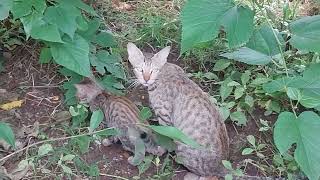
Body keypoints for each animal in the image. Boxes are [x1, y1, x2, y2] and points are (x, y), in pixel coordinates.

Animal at [127, 42, 282, 180]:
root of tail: (222, 164)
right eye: (140, 70)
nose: (146, 80)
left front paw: (159, 149)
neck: (163, 73)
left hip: (184, 145)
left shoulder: (165, 117)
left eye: (153, 70)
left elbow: (164, 137)